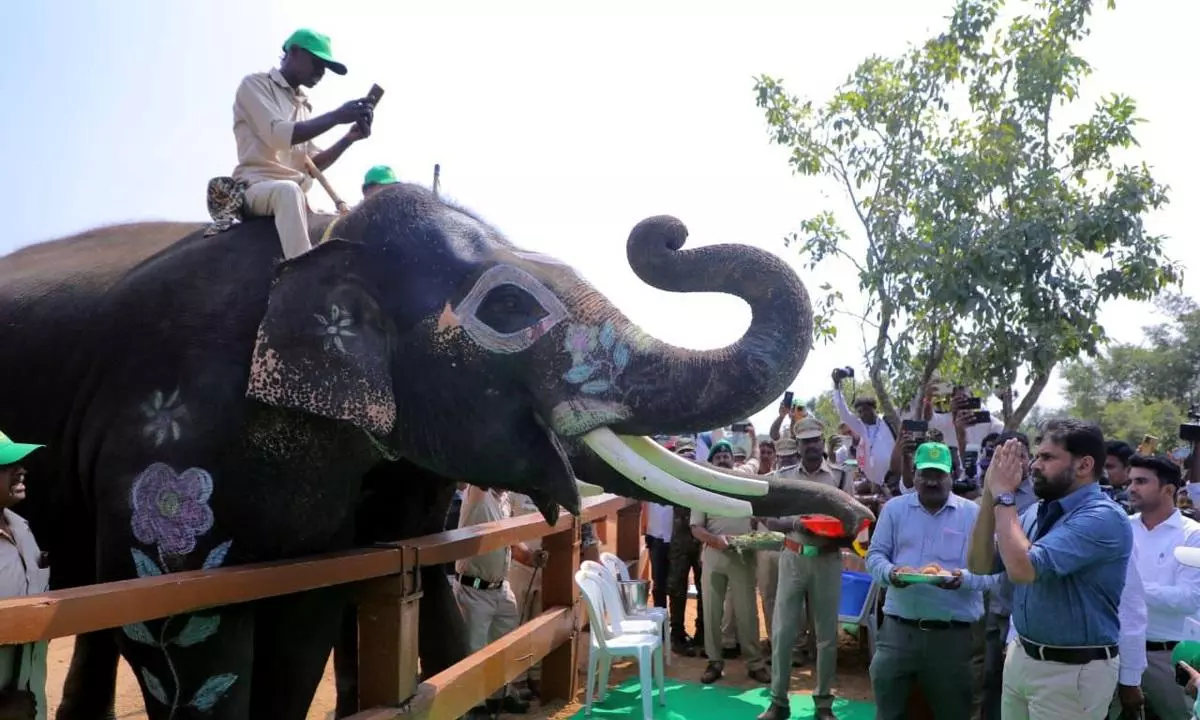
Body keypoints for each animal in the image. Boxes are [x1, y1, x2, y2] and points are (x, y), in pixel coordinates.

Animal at [0, 182, 873, 720]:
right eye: (511, 307)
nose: (855, 517)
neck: (326, 239)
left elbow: (309, 611)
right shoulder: (171, 427)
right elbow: (182, 622)